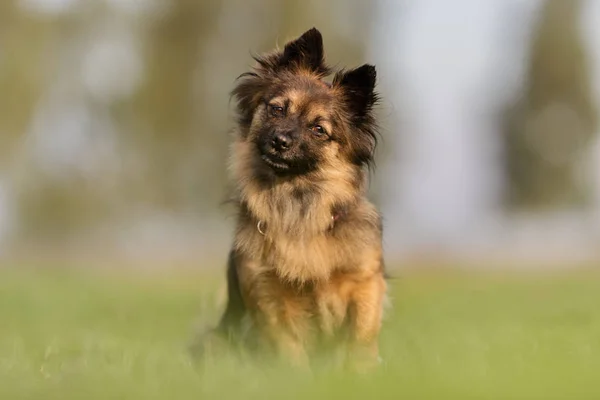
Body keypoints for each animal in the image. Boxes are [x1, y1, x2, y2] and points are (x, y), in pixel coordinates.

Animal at [195, 27, 386, 372]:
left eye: (319, 130)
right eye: (277, 109)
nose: (280, 140)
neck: (298, 207)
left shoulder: (365, 282)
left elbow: (361, 337)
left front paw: (359, 372)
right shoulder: (268, 292)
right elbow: (288, 345)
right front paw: (295, 376)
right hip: (214, 342)